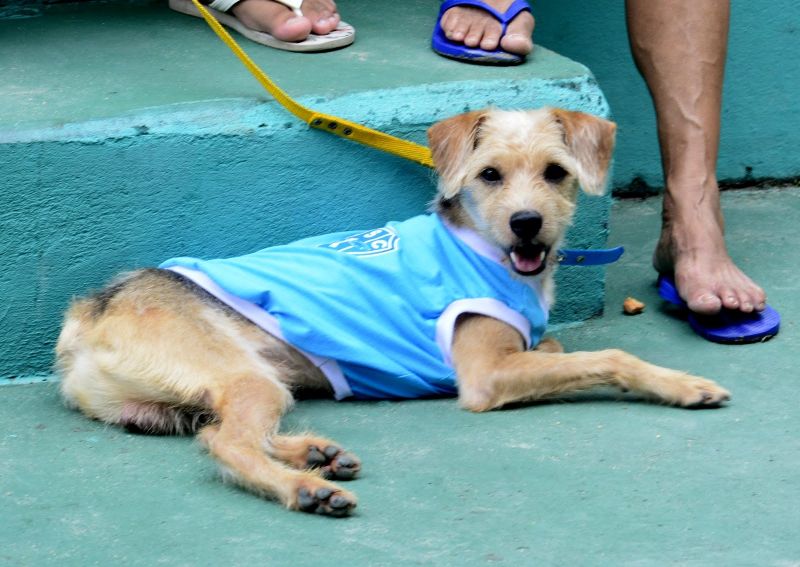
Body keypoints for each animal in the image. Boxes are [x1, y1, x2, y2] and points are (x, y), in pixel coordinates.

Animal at [56, 107, 732, 520]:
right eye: (490, 175)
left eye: (556, 172)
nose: (527, 224)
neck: (486, 248)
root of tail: (89, 311)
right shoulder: (487, 376)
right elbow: (608, 355)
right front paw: (681, 384)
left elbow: (559, 349)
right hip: (245, 377)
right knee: (227, 444)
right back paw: (307, 487)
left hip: (192, 399)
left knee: (222, 432)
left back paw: (315, 453)